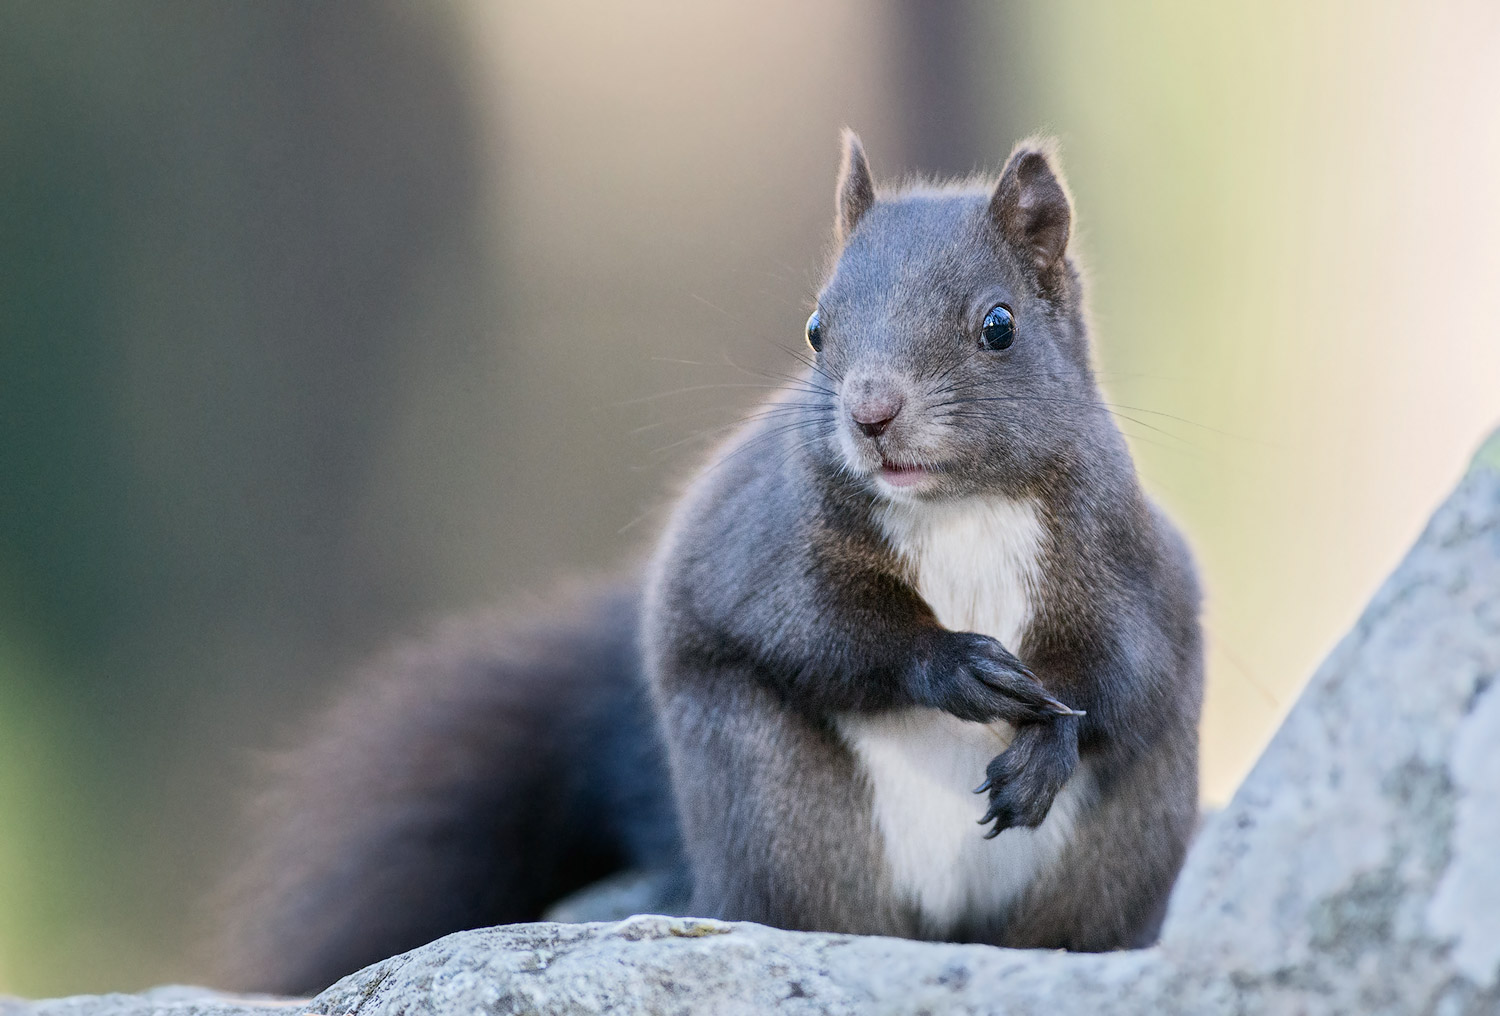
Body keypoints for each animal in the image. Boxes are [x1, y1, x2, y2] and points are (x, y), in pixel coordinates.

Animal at [220, 132, 1203, 995]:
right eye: (815, 329)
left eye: (999, 326)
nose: (870, 413)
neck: (956, 507)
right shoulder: (766, 545)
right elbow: (813, 626)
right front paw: (955, 665)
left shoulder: (1125, 565)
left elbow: (1125, 670)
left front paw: (1049, 745)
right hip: (772, 802)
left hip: (1129, 834)